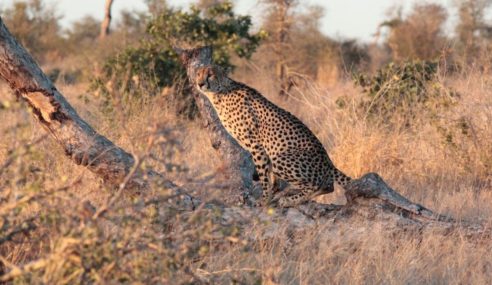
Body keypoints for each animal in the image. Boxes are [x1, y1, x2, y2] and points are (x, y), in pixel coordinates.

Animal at [194, 64, 352, 206]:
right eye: (198, 74)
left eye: (210, 75)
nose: (200, 84)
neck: (220, 92)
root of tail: (328, 160)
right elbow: (271, 177)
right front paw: (274, 191)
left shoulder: (256, 145)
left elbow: (264, 176)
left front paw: (264, 200)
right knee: (328, 186)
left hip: (281, 159)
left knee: (321, 185)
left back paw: (290, 200)